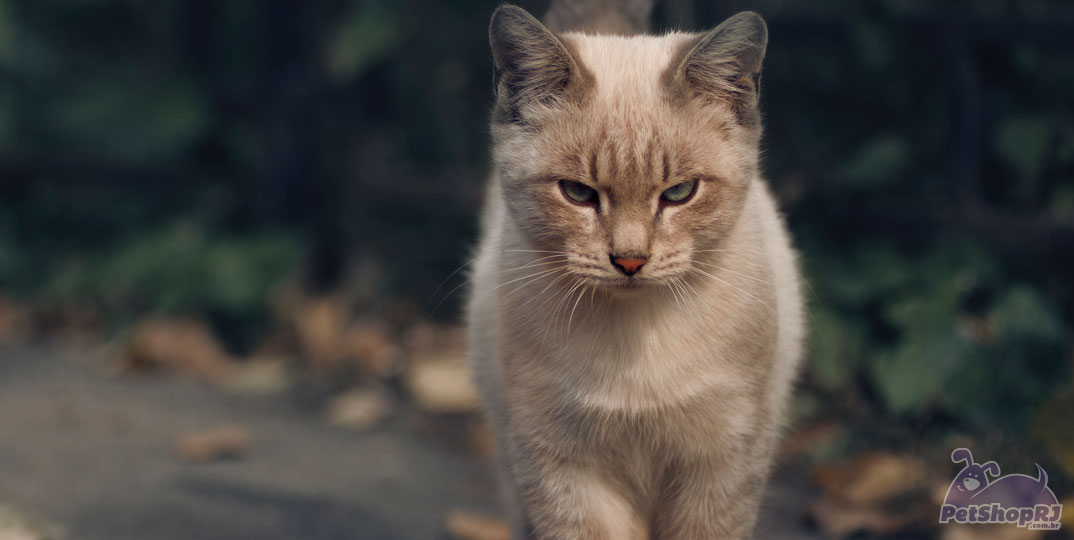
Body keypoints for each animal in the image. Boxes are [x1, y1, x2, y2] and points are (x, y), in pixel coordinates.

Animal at [466, 5, 803, 540]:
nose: (629, 261)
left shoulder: (720, 465)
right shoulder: (563, 470)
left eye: (680, 193)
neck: (637, 342)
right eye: (578, 194)